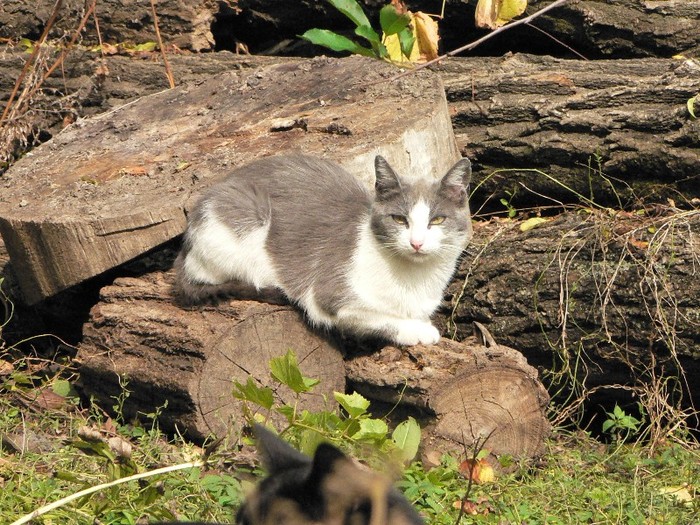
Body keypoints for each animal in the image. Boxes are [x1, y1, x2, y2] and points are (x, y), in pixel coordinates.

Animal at [172, 154, 474, 346]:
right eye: (399, 219)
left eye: (437, 220)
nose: (416, 242)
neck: (413, 279)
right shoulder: (326, 296)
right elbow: (378, 318)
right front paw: (419, 331)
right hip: (243, 216)